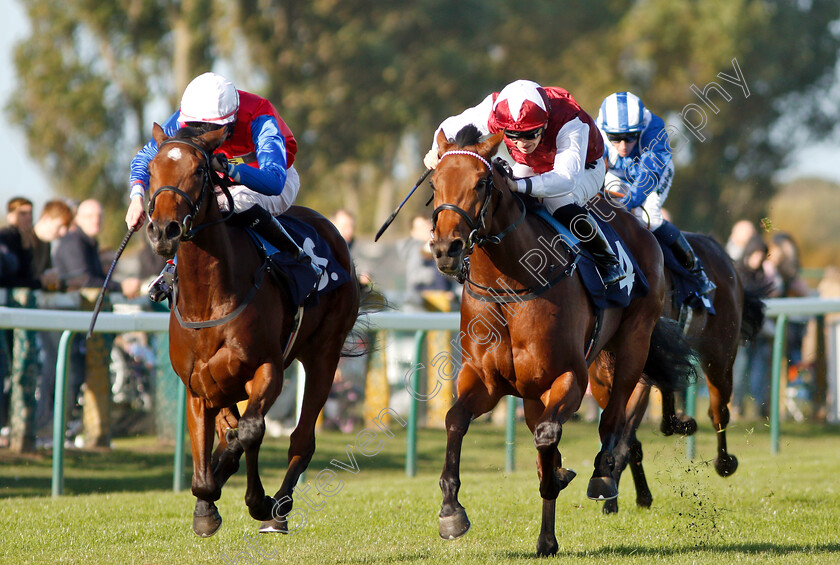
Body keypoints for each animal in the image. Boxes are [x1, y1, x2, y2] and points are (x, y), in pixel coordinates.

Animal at [145, 122, 360, 532]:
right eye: (151, 169)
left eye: (200, 170)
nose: (164, 230)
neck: (208, 300)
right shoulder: (197, 386)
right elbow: (214, 448)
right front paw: (205, 506)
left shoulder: (267, 368)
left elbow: (249, 431)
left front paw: (258, 501)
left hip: (324, 355)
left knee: (301, 439)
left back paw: (279, 510)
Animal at [426, 125, 696, 552]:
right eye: (435, 182)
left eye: (482, 182)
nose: (445, 248)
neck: (509, 287)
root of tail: (638, 224)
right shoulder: (485, 380)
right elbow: (455, 421)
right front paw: (451, 511)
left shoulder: (570, 375)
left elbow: (549, 438)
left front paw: (560, 487)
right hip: (548, 388)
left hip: (630, 345)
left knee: (614, 415)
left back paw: (601, 477)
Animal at [592, 231, 768, 512]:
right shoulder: (599, 382)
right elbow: (626, 435)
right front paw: (636, 494)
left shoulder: (638, 371)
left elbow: (625, 432)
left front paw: (612, 495)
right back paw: (678, 424)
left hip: (720, 355)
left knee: (718, 411)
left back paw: (724, 462)